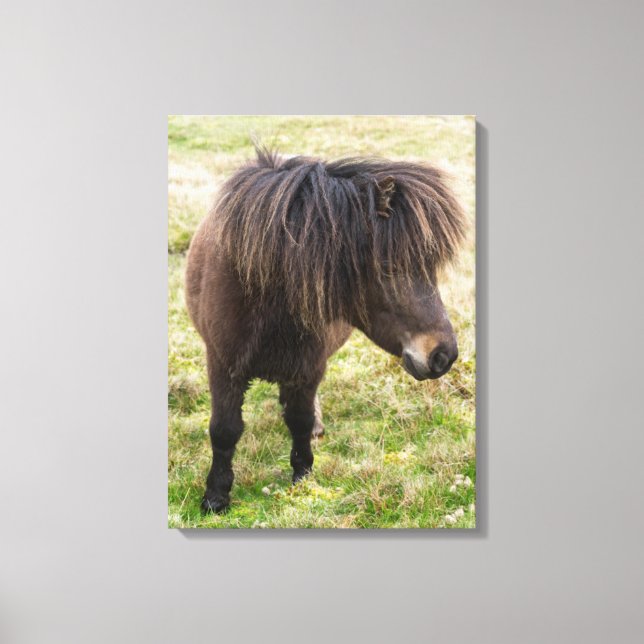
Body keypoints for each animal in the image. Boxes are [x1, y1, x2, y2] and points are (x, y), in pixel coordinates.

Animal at [185, 147, 467, 513]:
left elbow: (300, 420)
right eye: (389, 268)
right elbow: (224, 430)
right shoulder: (222, 365)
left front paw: (302, 475)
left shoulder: (309, 367)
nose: (443, 355)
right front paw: (216, 496)